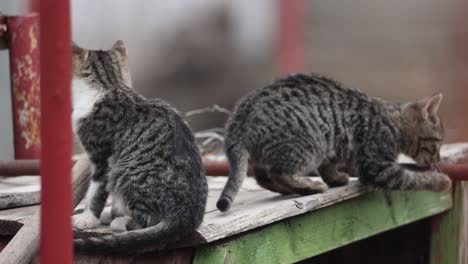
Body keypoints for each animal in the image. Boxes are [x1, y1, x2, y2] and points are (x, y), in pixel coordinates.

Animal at [71, 41, 207, 254]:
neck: (110, 84)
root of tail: (185, 216)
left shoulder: (102, 158)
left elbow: (96, 191)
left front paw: (87, 219)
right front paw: (107, 213)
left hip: (123, 173)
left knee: (147, 221)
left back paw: (121, 222)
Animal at [218, 72, 452, 212]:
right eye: (437, 143)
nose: (439, 157)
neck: (394, 122)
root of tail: (239, 118)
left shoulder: (336, 149)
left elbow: (330, 167)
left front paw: (336, 178)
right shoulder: (375, 165)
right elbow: (410, 177)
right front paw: (440, 182)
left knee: (263, 177)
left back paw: (293, 189)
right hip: (308, 144)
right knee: (278, 172)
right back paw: (310, 186)